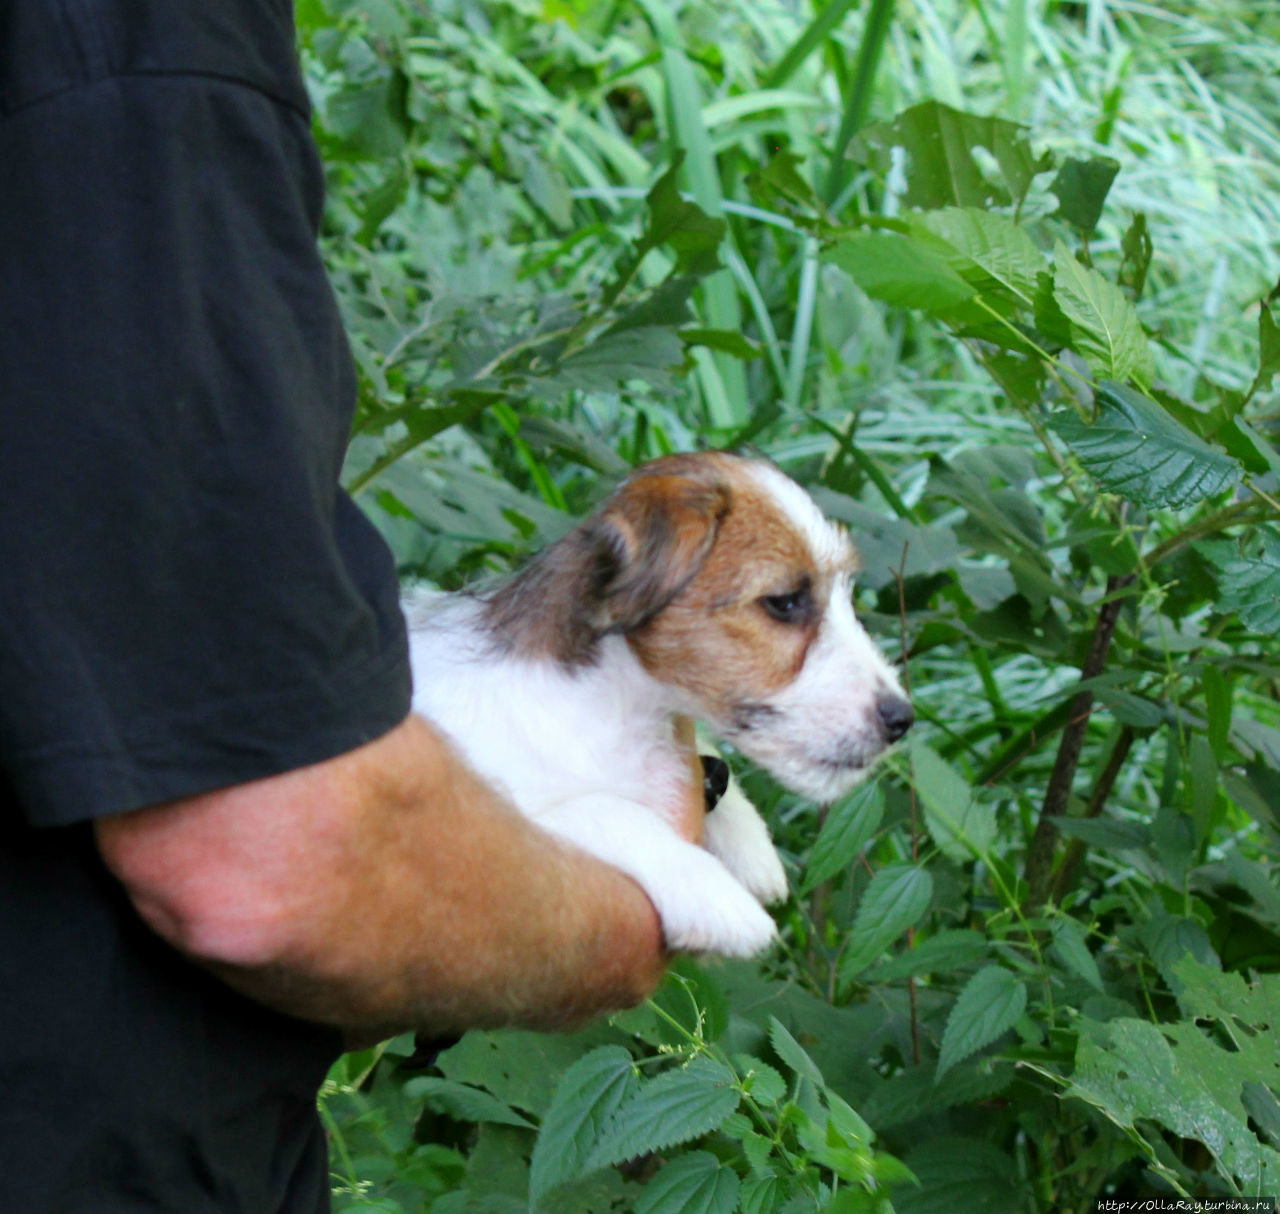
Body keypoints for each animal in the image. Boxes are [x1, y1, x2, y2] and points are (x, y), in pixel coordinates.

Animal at [404, 450, 916, 952]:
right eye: (784, 601)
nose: (903, 719)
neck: (617, 707)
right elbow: (608, 808)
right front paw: (711, 893)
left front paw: (748, 839)